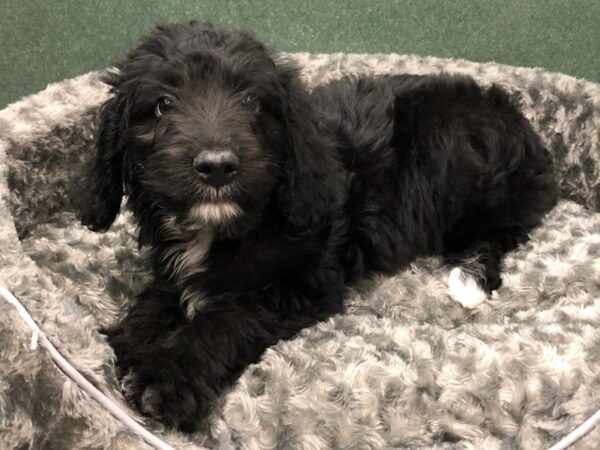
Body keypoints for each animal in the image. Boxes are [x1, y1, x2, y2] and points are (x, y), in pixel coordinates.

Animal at [81, 22, 556, 432]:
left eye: (252, 101)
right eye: (163, 103)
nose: (217, 166)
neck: (225, 226)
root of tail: (528, 132)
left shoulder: (304, 282)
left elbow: (229, 316)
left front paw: (169, 376)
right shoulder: (174, 265)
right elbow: (160, 297)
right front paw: (129, 340)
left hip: (459, 149)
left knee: (503, 227)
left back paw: (470, 275)